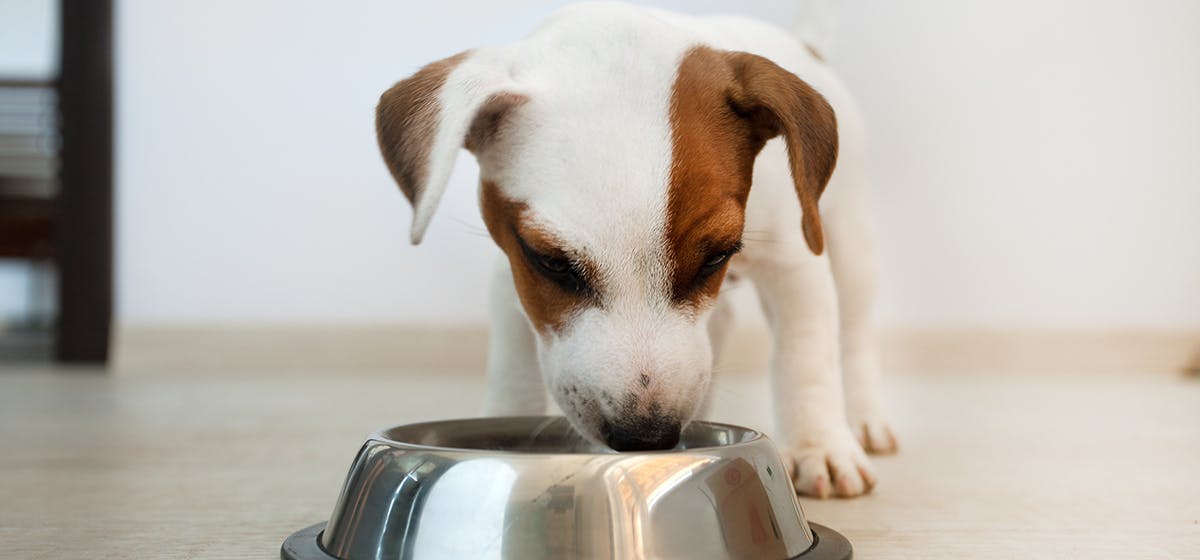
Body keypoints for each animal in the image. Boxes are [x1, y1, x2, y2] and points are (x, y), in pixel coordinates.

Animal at [372, 2, 892, 496]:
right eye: (553, 263)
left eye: (716, 256)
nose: (647, 436)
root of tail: (806, 46)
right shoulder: (513, 272)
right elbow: (515, 368)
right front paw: (504, 418)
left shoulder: (794, 263)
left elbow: (805, 357)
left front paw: (819, 446)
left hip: (851, 246)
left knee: (853, 336)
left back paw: (865, 419)